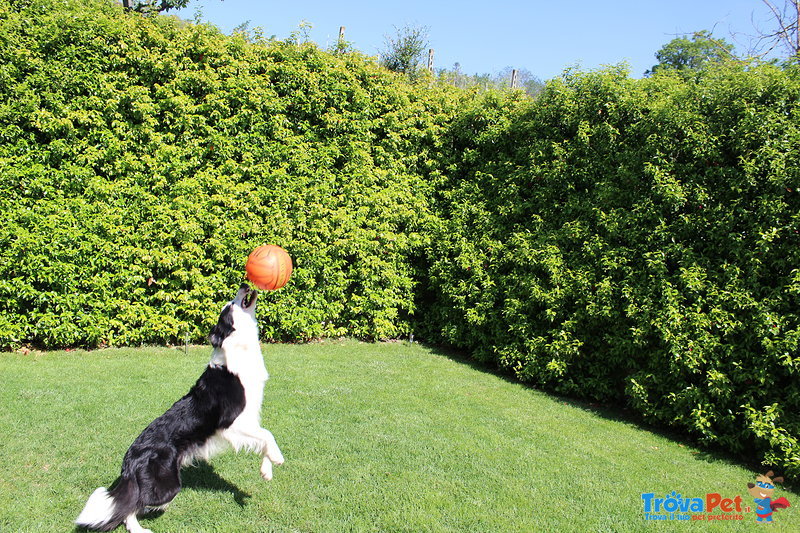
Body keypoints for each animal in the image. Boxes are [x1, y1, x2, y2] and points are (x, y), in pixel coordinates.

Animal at [75, 284, 282, 528]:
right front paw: (278, 458)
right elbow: (267, 434)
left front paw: (266, 470)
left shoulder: (250, 418)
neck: (237, 350)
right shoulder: (231, 423)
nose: (244, 285)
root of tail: (129, 461)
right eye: (230, 306)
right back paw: (140, 529)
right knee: (130, 505)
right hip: (168, 486)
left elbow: (264, 438)